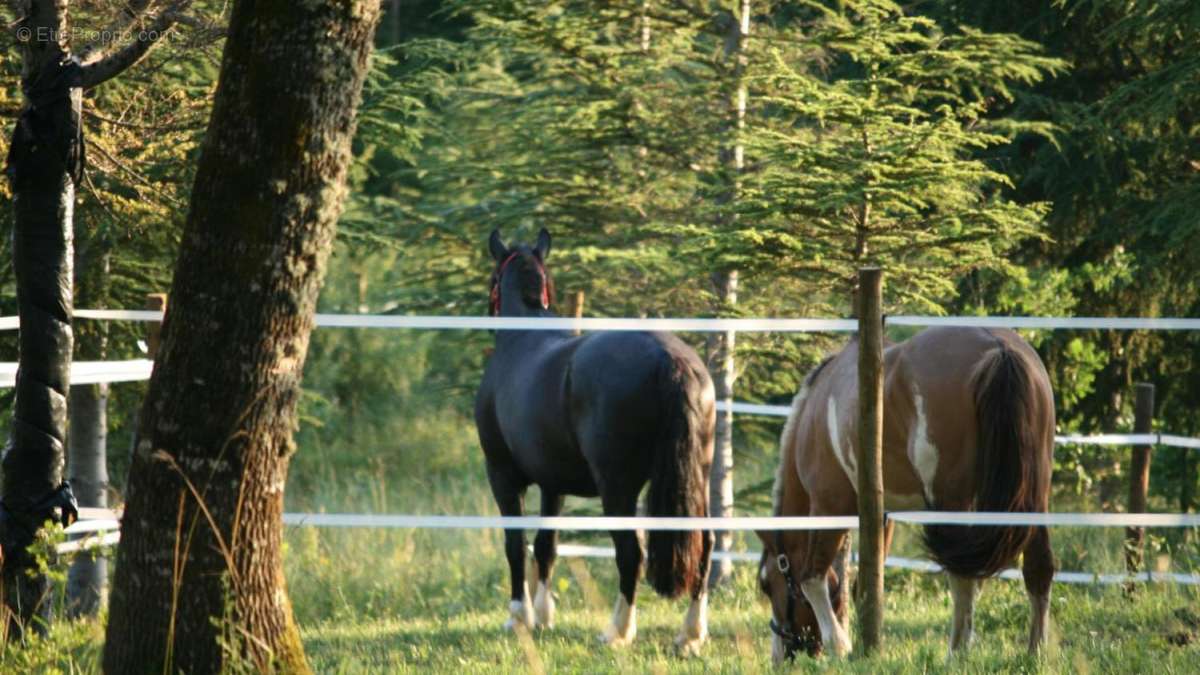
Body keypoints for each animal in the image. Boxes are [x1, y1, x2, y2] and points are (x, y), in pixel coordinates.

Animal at [472, 227, 715, 653]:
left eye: (493, 282)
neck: (522, 338)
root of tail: (671, 360)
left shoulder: (502, 474)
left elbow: (516, 544)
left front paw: (520, 617)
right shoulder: (553, 484)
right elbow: (547, 545)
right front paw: (544, 616)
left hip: (617, 488)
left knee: (631, 553)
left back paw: (617, 632)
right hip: (695, 478)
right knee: (705, 544)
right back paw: (690, 634)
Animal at [753, 324, 1056, 658]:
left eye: (766, 583)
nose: (779, 656)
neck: (815, 413)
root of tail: (999, 349)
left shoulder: (827, 506)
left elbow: (812, 579)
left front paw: (841, 647)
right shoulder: (882, 515)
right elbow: (864, 587)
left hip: (953, 502)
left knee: (962, 577)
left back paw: (956, 654)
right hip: (1034, 499)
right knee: (1038, 568)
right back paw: (1035, 652)